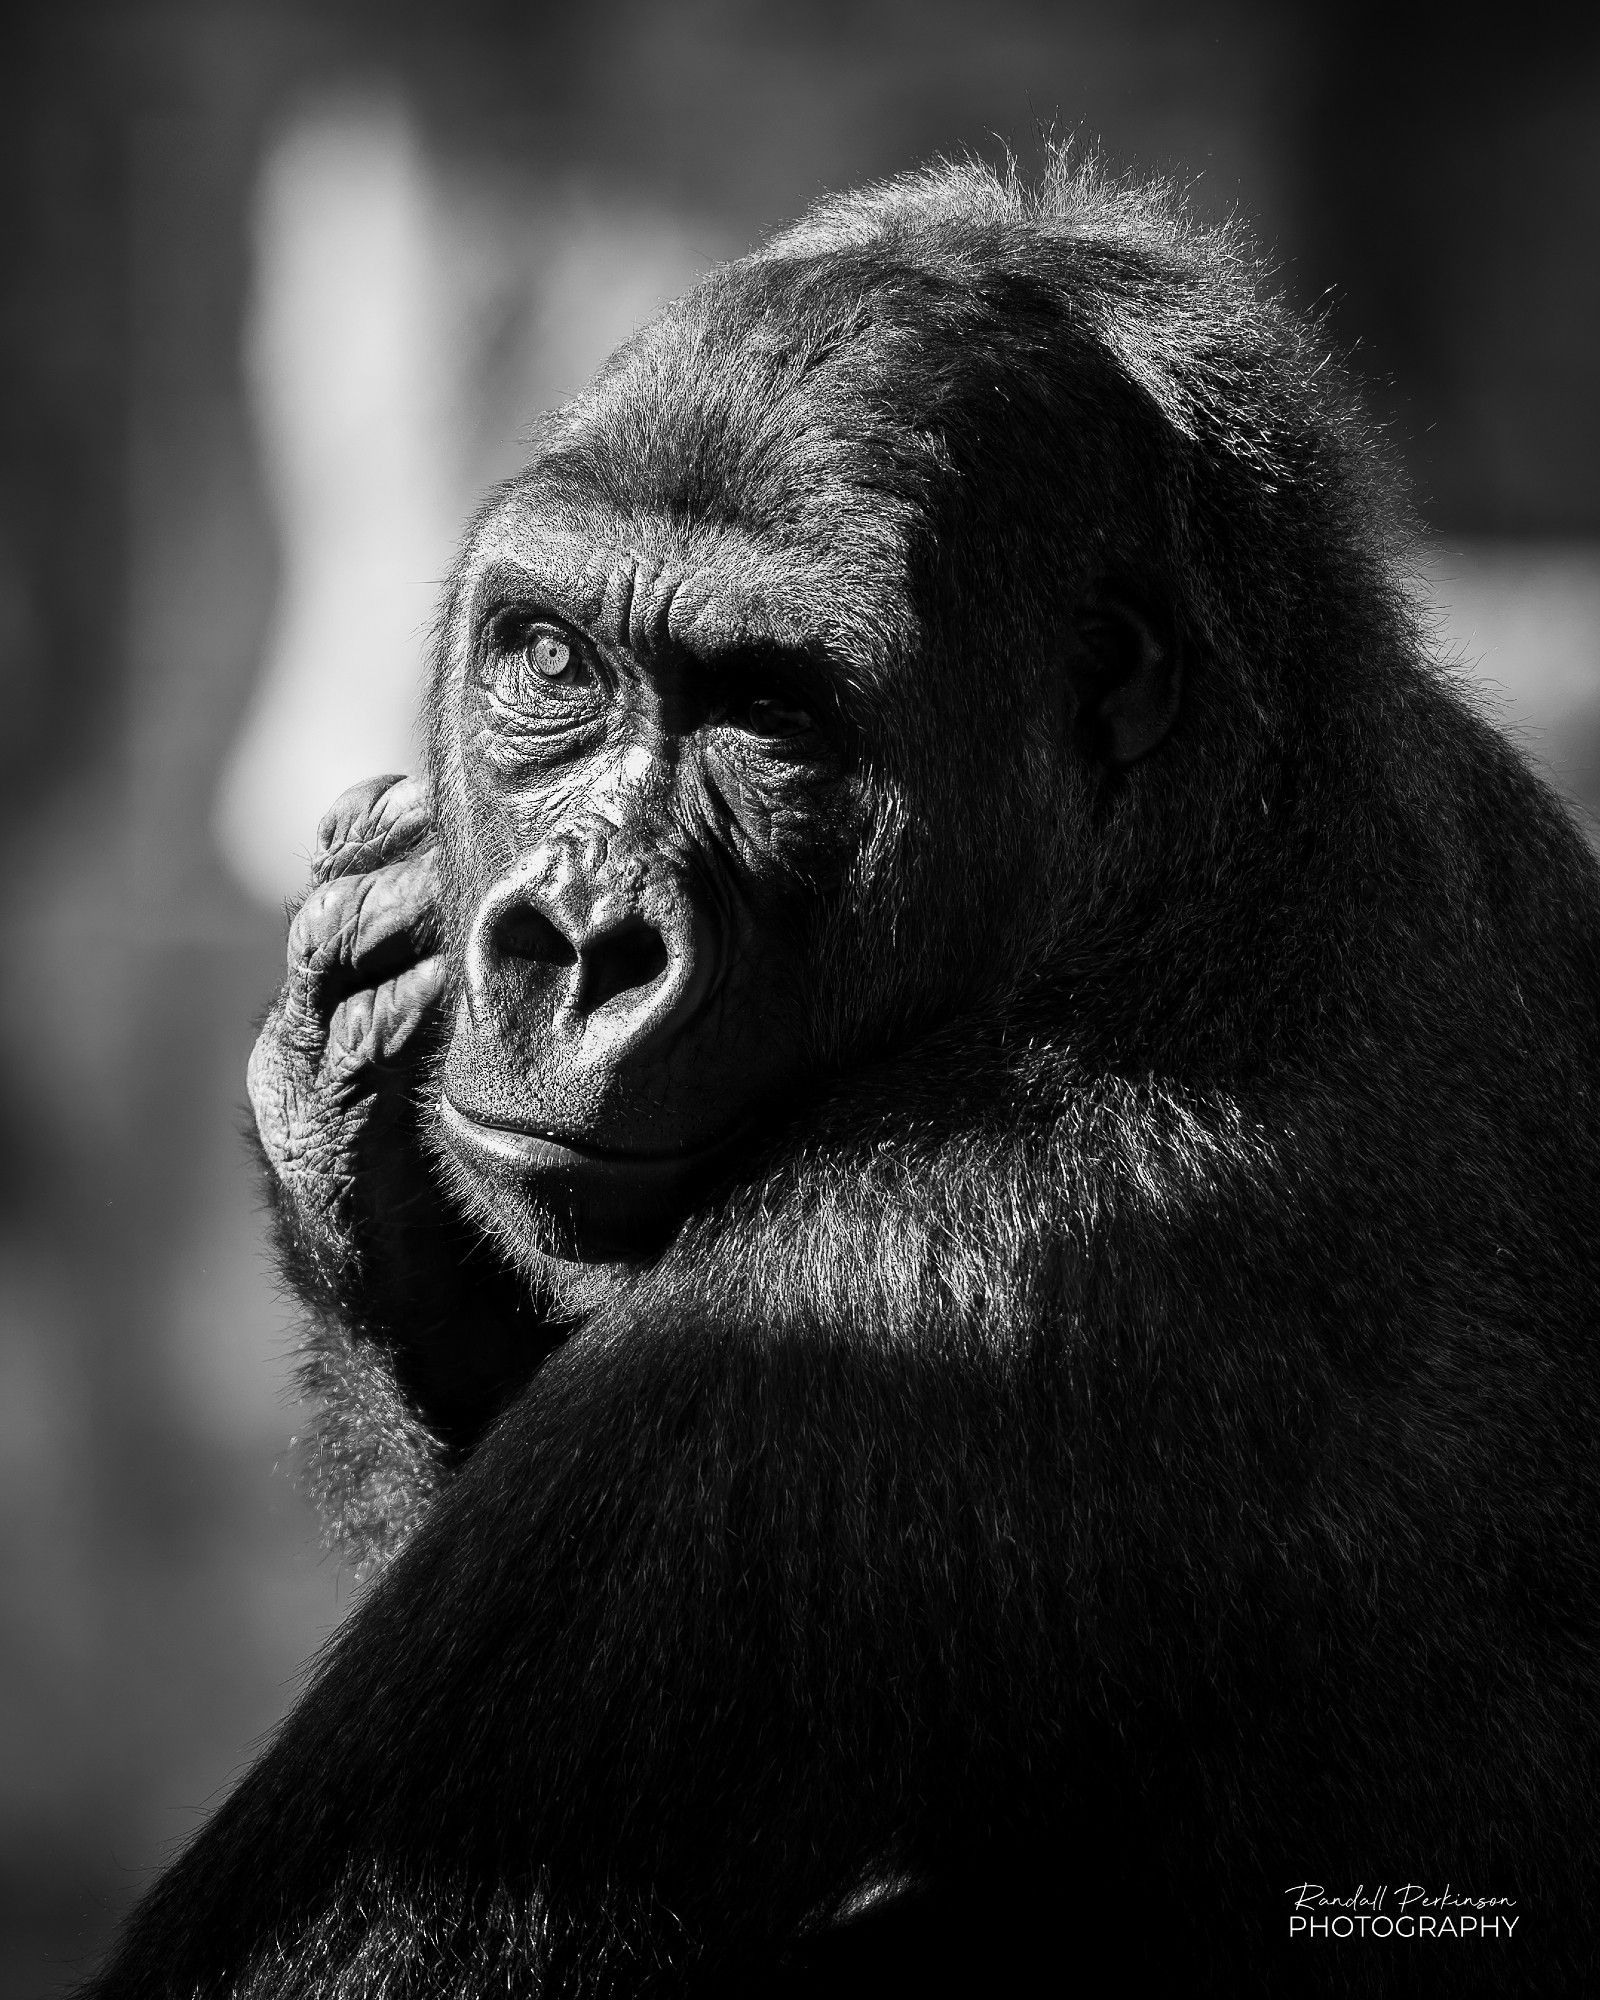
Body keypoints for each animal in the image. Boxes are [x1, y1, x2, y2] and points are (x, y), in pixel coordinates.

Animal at [94, 160, 1600, 2000]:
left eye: (771, 712)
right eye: (555, 663)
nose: (575, 941)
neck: (1170, 876)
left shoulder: (905, 1289)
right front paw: (361, 1176)